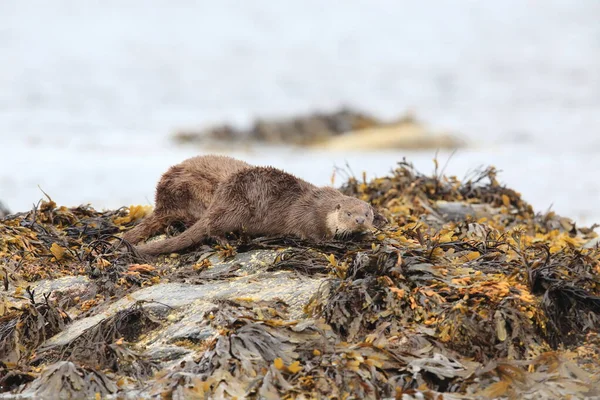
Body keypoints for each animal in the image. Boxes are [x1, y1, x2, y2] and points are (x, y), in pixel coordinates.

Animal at [136, 166, 376, 256]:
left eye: (367, 214)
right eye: (348, 213)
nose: (359, 221)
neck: (322, 206)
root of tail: (220, 196)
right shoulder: (308, 216)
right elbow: (313, 235)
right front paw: (332, 240)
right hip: (237, 210)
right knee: (213, 226)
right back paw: (225, 240)